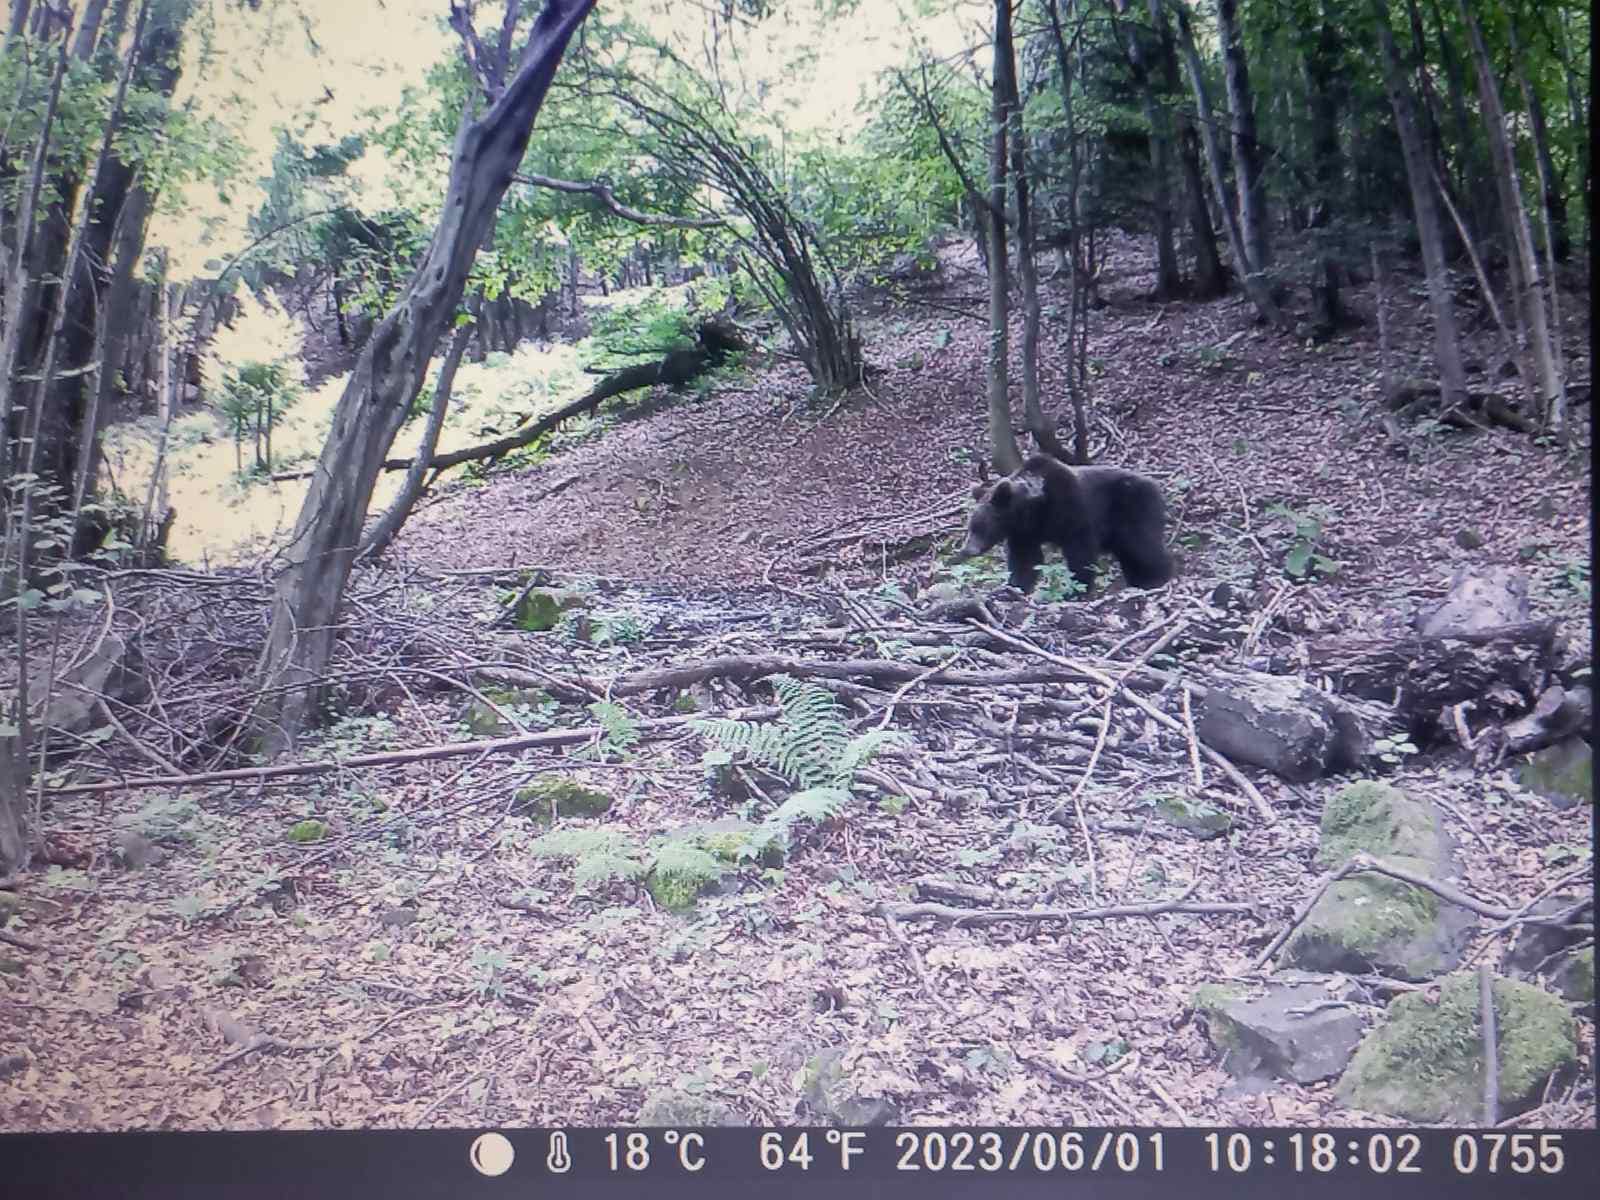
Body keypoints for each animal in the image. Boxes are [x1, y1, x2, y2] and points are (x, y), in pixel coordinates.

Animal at [960, 454, 1177, 598]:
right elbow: (1026, 560)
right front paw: (1015, 587)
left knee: (1143, 546)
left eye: (981, 526)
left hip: (1133, 508)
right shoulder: (1024, 533)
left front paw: (1076, 590)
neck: (1034, 507)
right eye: (971, 526)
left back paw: (1158, 578)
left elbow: (1080, 553)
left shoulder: (1072, 512)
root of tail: (1156, 485)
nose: (968, 549)